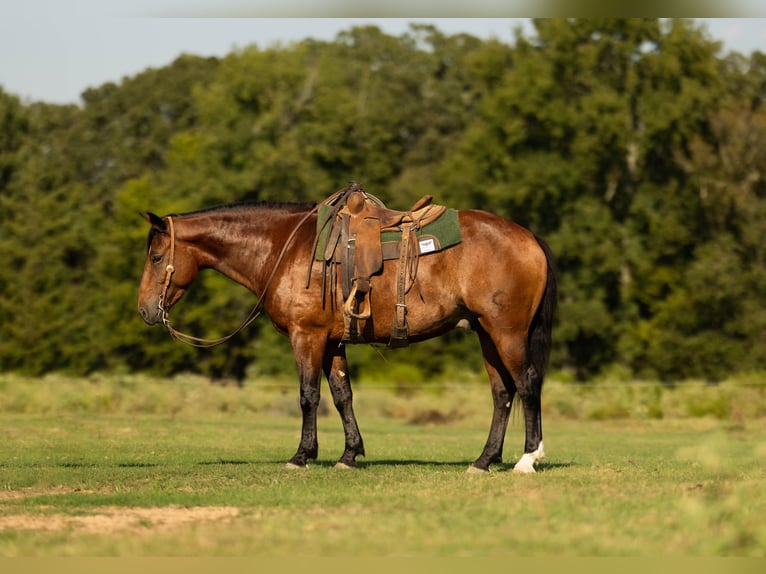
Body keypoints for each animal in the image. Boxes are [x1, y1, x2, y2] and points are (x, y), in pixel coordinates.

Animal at [138, 196, 560, 474]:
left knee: (527, 384)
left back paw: (528, 459)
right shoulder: (332, 342)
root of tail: (529, 238)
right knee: (502, 393)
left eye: (156, 257)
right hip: (486, 334)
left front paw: (302, 456)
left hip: (506, 332)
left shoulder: (306, 338)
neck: (284, 248)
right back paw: (484, 460)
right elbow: (343, 396)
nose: (145, 310)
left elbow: (308, 396)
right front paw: (349, 455)